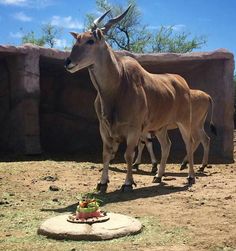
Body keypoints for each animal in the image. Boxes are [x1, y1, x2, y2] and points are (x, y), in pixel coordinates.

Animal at [63, 5, 195, 192]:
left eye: (90, 41)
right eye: (77, 40)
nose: (68, 62)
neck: (118, 86)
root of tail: (183, 83)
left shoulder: (133, 129)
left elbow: (128, 155)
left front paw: (127, 183)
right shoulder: (104, 129)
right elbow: (106, 154)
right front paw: (102, 183)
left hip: (184, 122)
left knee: (189, 143)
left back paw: (191, 177)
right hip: (160, 127)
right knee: (166, 145)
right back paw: (158, 175)